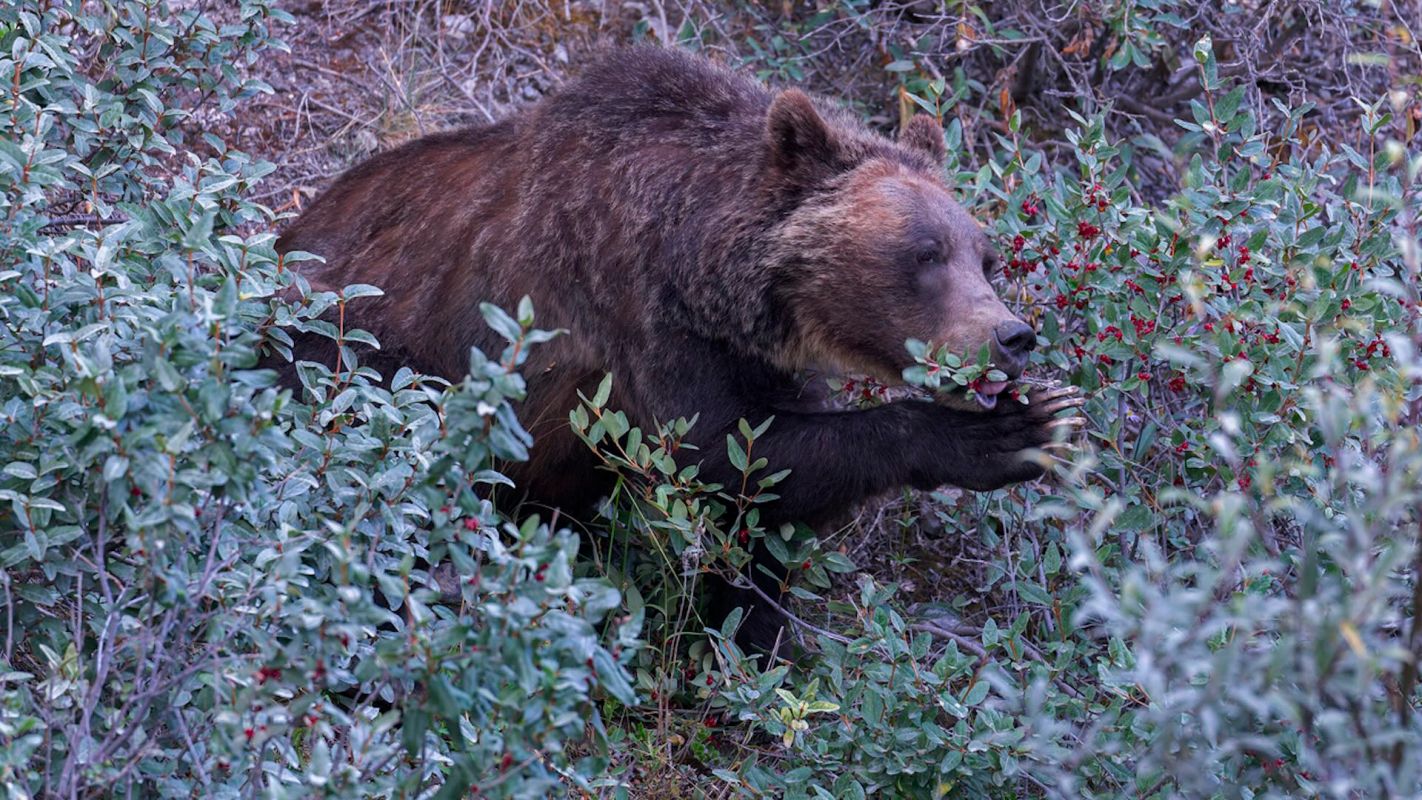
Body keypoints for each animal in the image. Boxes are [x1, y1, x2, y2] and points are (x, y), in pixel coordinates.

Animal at [274, 43, 1075, 653]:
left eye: (986, 259)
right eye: (925, 253)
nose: (1012, 335)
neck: (704, 263)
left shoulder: (755, 355)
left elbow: (758, 521)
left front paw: (753, 643)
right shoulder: (632, 313)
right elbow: (723, 455)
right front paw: (1007, 434)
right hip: (351, 362)